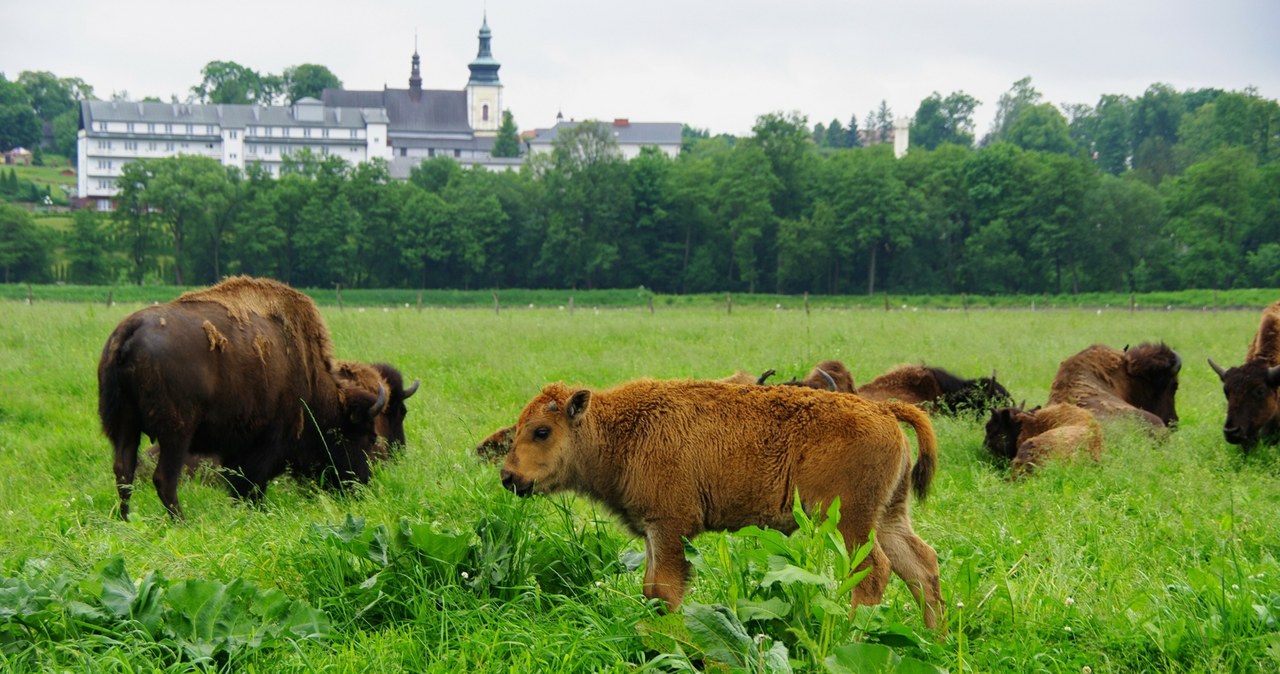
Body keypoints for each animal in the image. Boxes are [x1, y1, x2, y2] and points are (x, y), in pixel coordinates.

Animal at [97, 277, 389, 519]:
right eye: (368, 436)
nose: (361, 486)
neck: (310, 376)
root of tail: (130, 330)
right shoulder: (266, 442)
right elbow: (251, 484)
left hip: (125, 427)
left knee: (124, 471)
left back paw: (126, 520)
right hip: (175, 433)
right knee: (164, 478)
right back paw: (181, 522)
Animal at [501, 376, 952, 629]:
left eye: (541, 431)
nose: (508, 476)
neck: (621, 429)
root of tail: (883, 410)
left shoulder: (671, 527)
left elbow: (664, 590)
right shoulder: (653, 531)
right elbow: (650, 589)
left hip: (848, 522)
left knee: (874, 572)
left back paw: (851, 634)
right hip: (887, 517)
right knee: (921, 567)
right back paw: (934, 639)